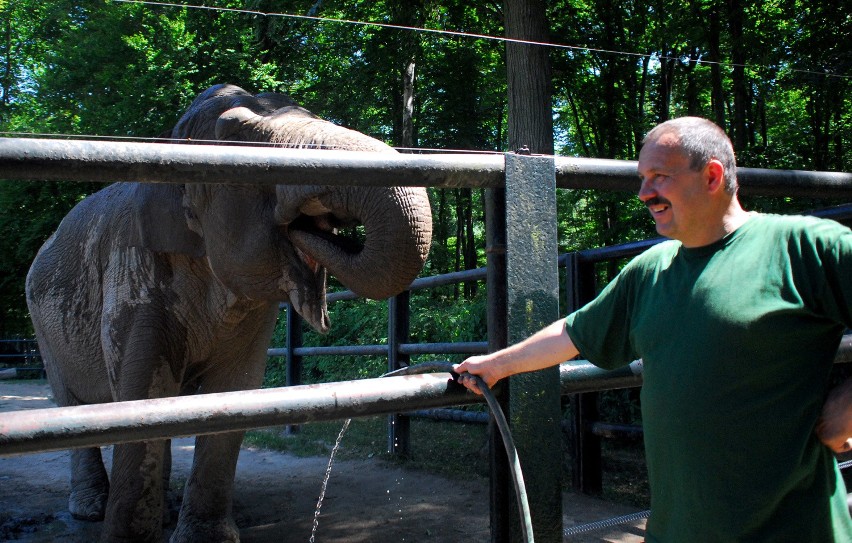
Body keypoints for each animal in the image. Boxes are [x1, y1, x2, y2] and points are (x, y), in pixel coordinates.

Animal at [25, 83, 432, 540]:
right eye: (237, 135)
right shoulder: (132, 271)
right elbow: (143, 391)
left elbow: (234, 389)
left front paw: (205, 537)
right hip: (42, 325)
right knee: (70, 402)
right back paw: (91, 509)